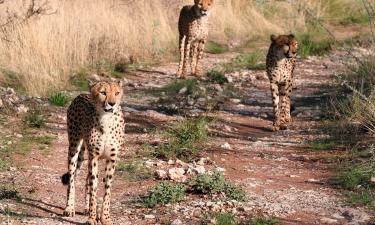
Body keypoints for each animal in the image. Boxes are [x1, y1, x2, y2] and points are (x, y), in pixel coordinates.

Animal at [61, 80, 126, 224]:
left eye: (117, 93)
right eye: (103, 92)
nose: (112, 103)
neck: (106, 119)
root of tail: (81, 94)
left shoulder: (111, 159)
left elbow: (106, 190)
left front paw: (105, 217)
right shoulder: (94, 157)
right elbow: (94, 189)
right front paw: (92, 218)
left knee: (86, 178)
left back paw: (86, 208)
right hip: (74, 147)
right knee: (72, 178)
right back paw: (69, 207)